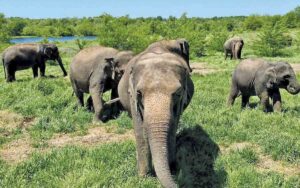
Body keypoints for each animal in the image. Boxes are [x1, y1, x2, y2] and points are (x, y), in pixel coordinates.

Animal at [117, 39, 195, 187]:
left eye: (178, 93)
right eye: (139, 93)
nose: (179, 180)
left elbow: (172, 128)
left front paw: (172, 168)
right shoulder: (132, 96)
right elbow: (140, 131)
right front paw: (144, 177)